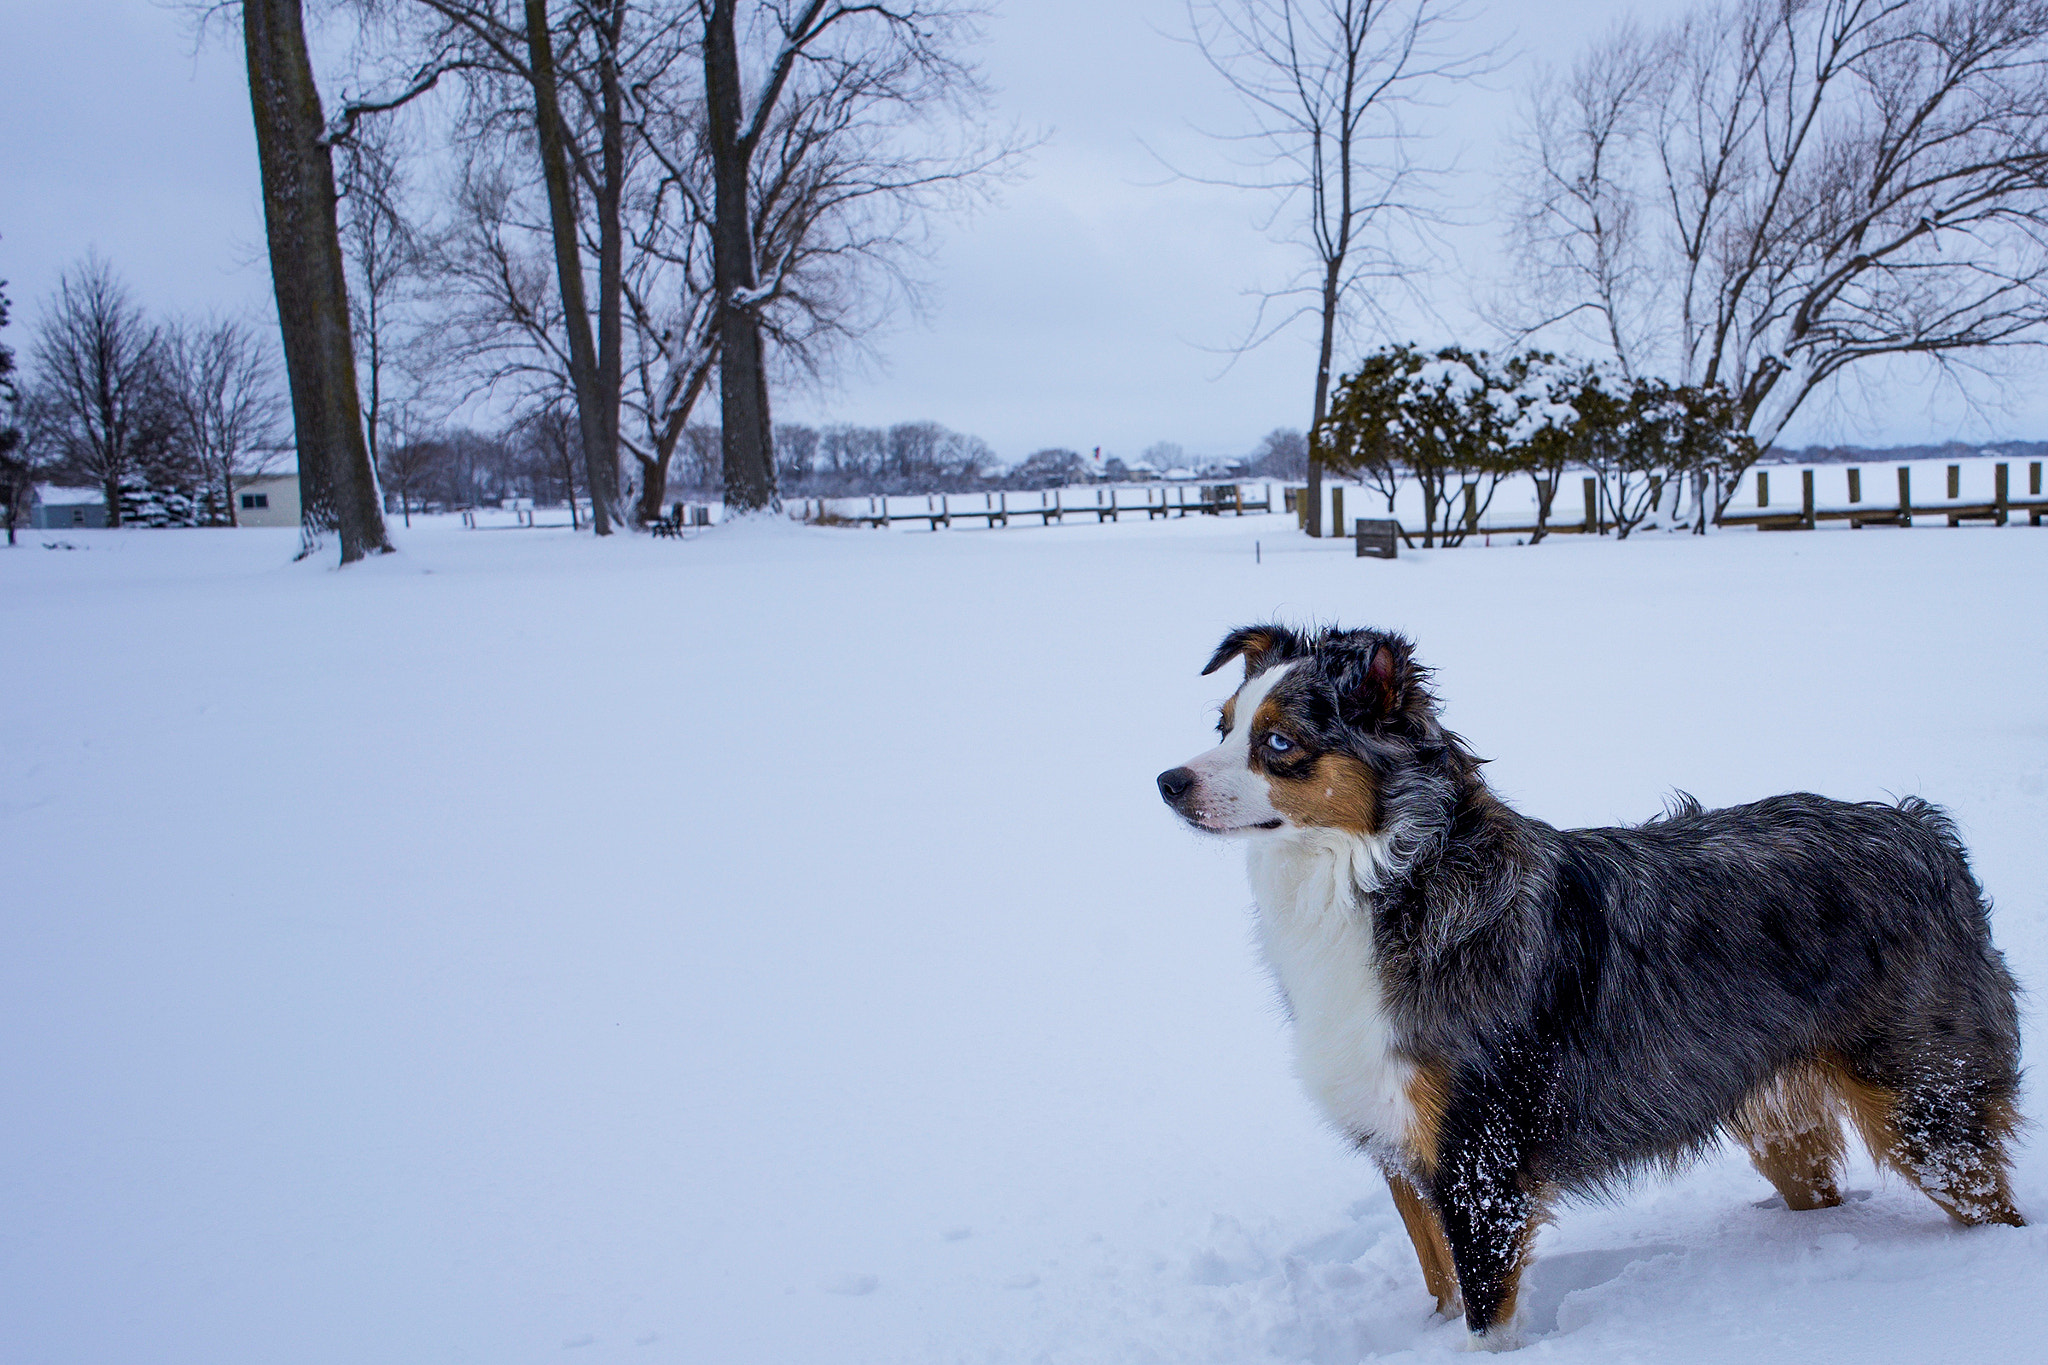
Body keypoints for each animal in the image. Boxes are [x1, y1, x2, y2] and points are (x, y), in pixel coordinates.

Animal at [1163, 626, 2023, 1342]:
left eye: (1279, 741)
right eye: (1223, 725)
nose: (1168, 781)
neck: (1393, 882)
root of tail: (1924, 830)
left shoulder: (1480, 1155)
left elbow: (1483, 1310)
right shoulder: (1405, 1146)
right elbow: (1441, 1283)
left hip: (1926, 1101)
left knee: (1992, 1204)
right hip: (1780, 1117)